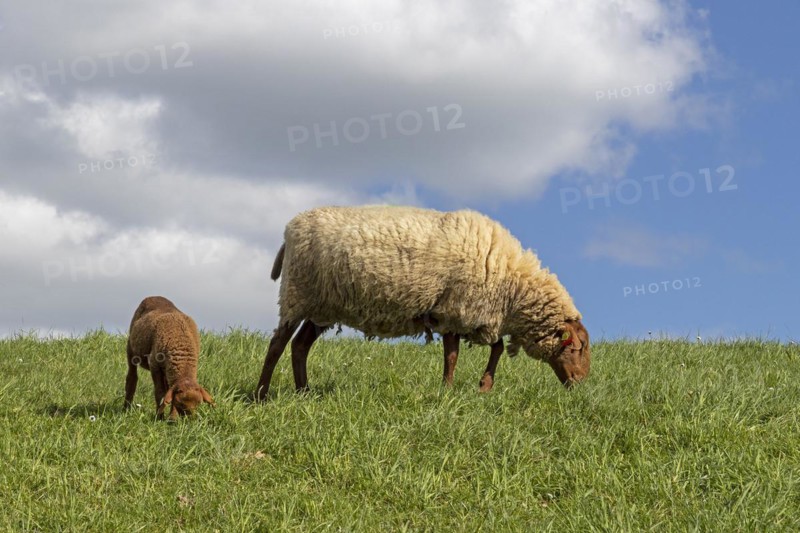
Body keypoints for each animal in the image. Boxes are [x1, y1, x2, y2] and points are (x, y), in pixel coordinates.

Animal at [255, 205, 590, 400]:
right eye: (575, 348)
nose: (580, 383)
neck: (513, 287)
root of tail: (290, 228)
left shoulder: (477, 314)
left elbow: (494, 348)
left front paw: (484, 386)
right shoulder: (455, 310)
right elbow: (452, 355)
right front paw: (448, 390)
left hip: (322, 306)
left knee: (300, 346)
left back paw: (304, 393)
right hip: (297, 294)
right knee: (278, 344)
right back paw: (261, 394)